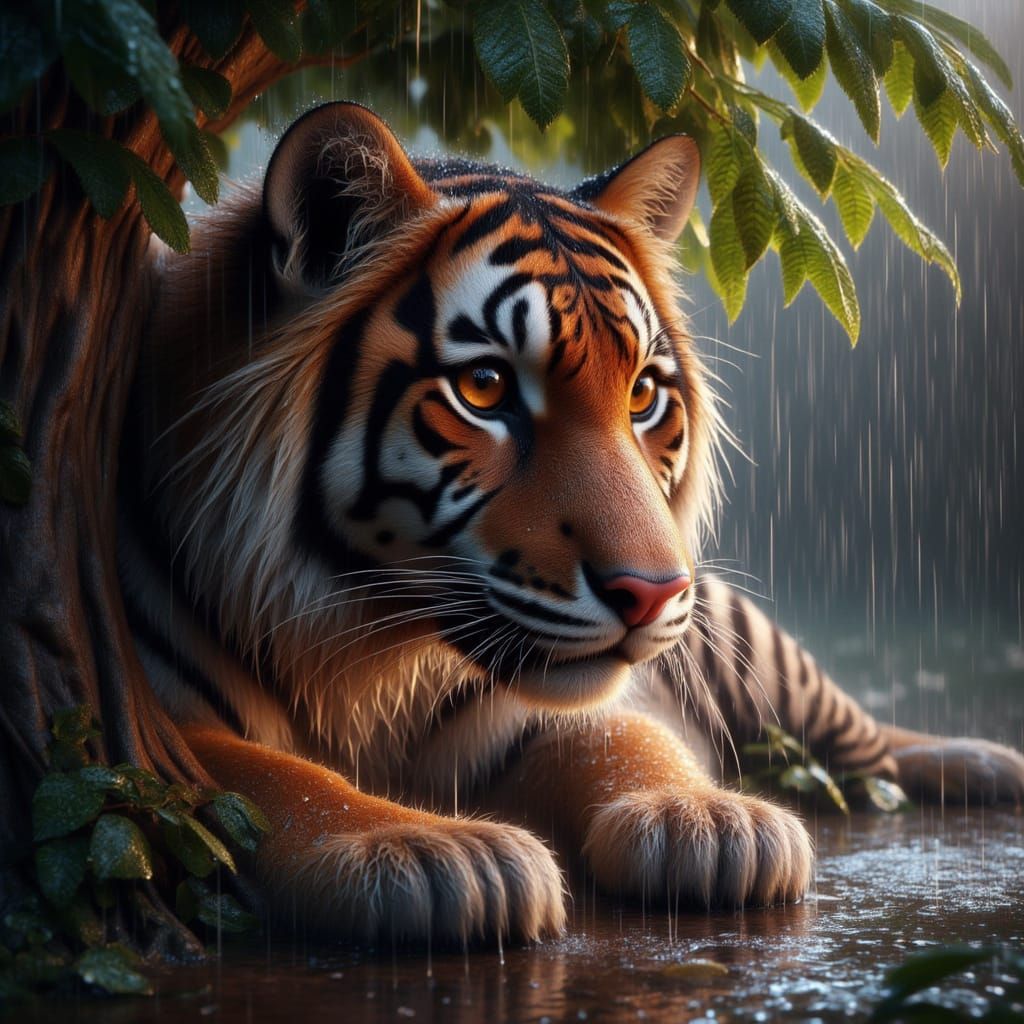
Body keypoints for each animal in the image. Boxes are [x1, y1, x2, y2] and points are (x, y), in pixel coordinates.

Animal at [119, 101, 1024, 945]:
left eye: (643, 393)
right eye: (484, 388)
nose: (655, 592)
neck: (370, 654)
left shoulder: (536, 708)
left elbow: (622, 736)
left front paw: (712, 823)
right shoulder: (151, 711)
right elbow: (266, 775)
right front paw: (431, 852)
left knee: (860, 738)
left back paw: (985, 760)